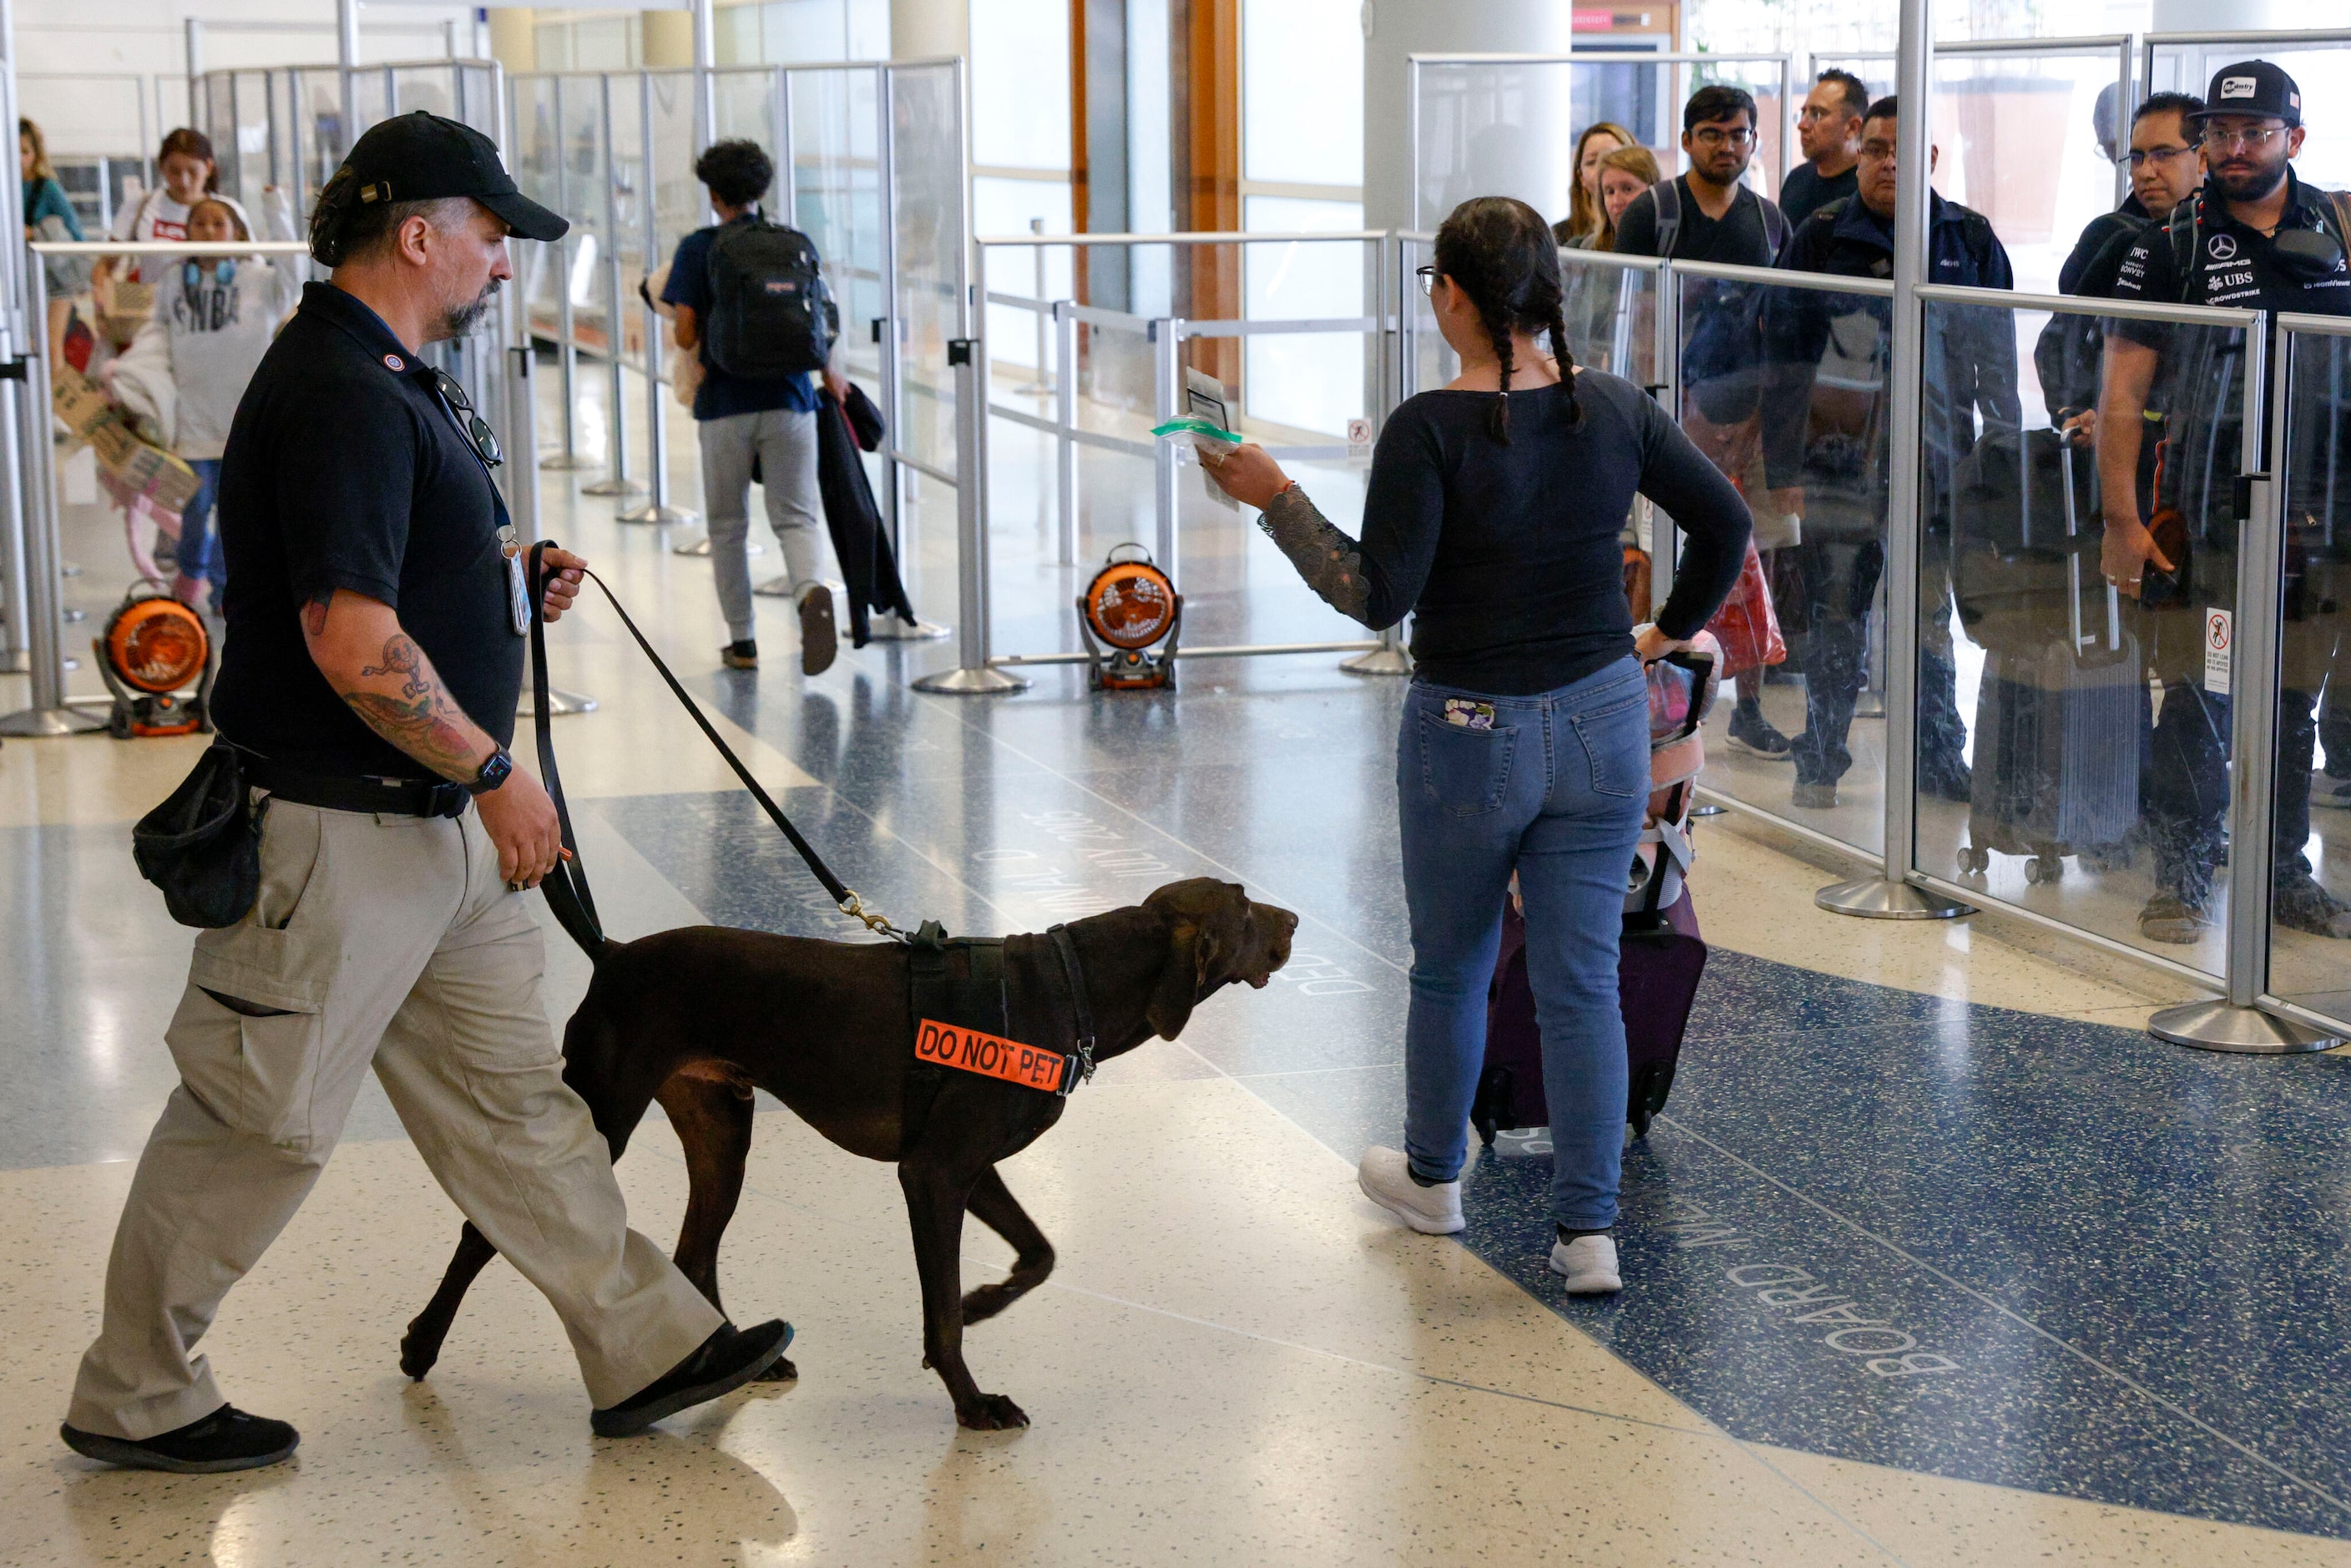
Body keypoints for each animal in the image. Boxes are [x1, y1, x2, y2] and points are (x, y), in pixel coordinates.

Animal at [397, 879, 1297, 1429]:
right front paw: (972, 1401)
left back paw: (732, 1359)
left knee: (694, 1253)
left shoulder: (968, 1169)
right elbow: (941, 1317)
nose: (1293, 922)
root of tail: (613, 951)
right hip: (604, 1111)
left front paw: (984, 1300)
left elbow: (1038, 1255)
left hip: (723, 1132)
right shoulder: (932, 1174)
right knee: (486, 1231)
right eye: (1246, 910)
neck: (1067, 989)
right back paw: (422, 1344)